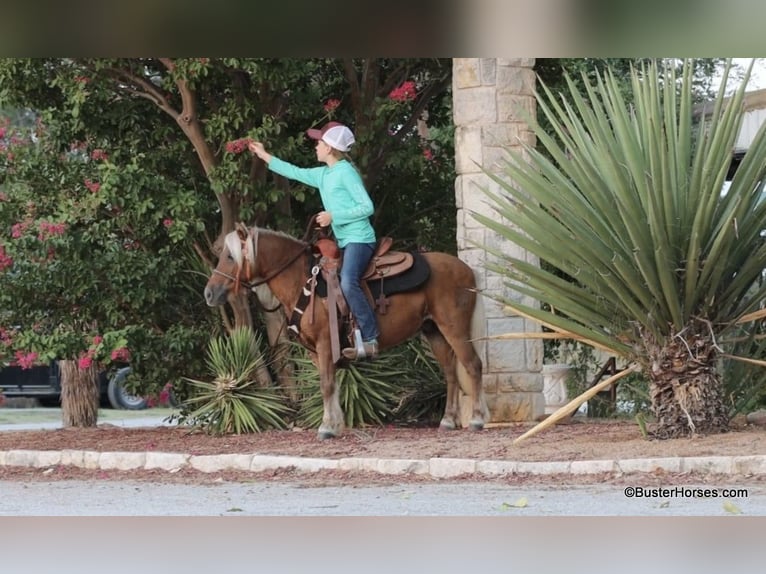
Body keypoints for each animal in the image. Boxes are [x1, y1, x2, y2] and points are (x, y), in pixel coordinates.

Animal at [206, 225, 486, 440]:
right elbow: (330, 386)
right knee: (450, 372)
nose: (210, 293)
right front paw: (336, 424)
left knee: (473, 364)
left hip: (454, 328)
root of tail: (468, 271)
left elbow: (327, 385)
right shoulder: (315, 352)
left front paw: (327, 428)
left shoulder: (324, 344)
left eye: (230, 257)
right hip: (433, 330)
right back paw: (448, 420)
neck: (303, 281)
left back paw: (477, 420)